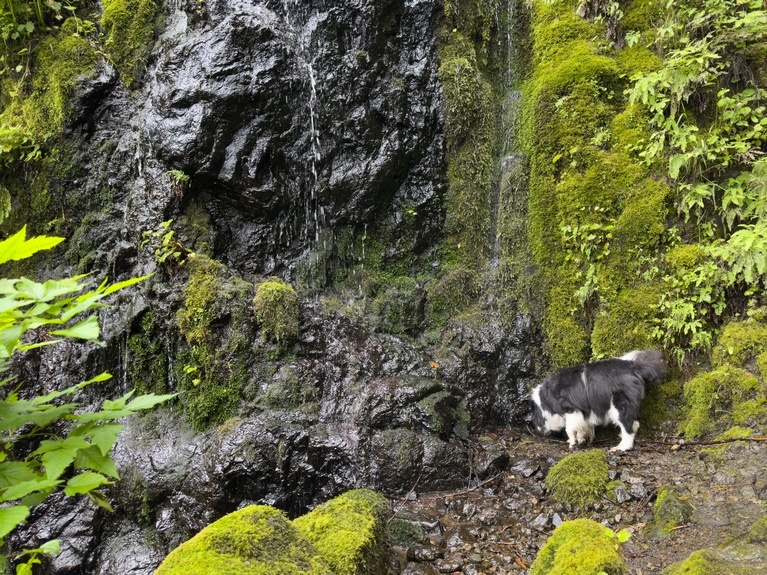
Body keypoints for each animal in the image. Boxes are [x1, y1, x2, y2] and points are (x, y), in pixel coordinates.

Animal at [530, 350, 666, 452]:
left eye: (538, 417)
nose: (537, 429)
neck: (546, 400)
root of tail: (635, 367)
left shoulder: (572, 410)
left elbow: (570, 428)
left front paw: (572, 443)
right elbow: (582, 428)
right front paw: (580, 439)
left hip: (619, 406)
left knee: (628, 427)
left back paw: (620, 447)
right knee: (634, 423)